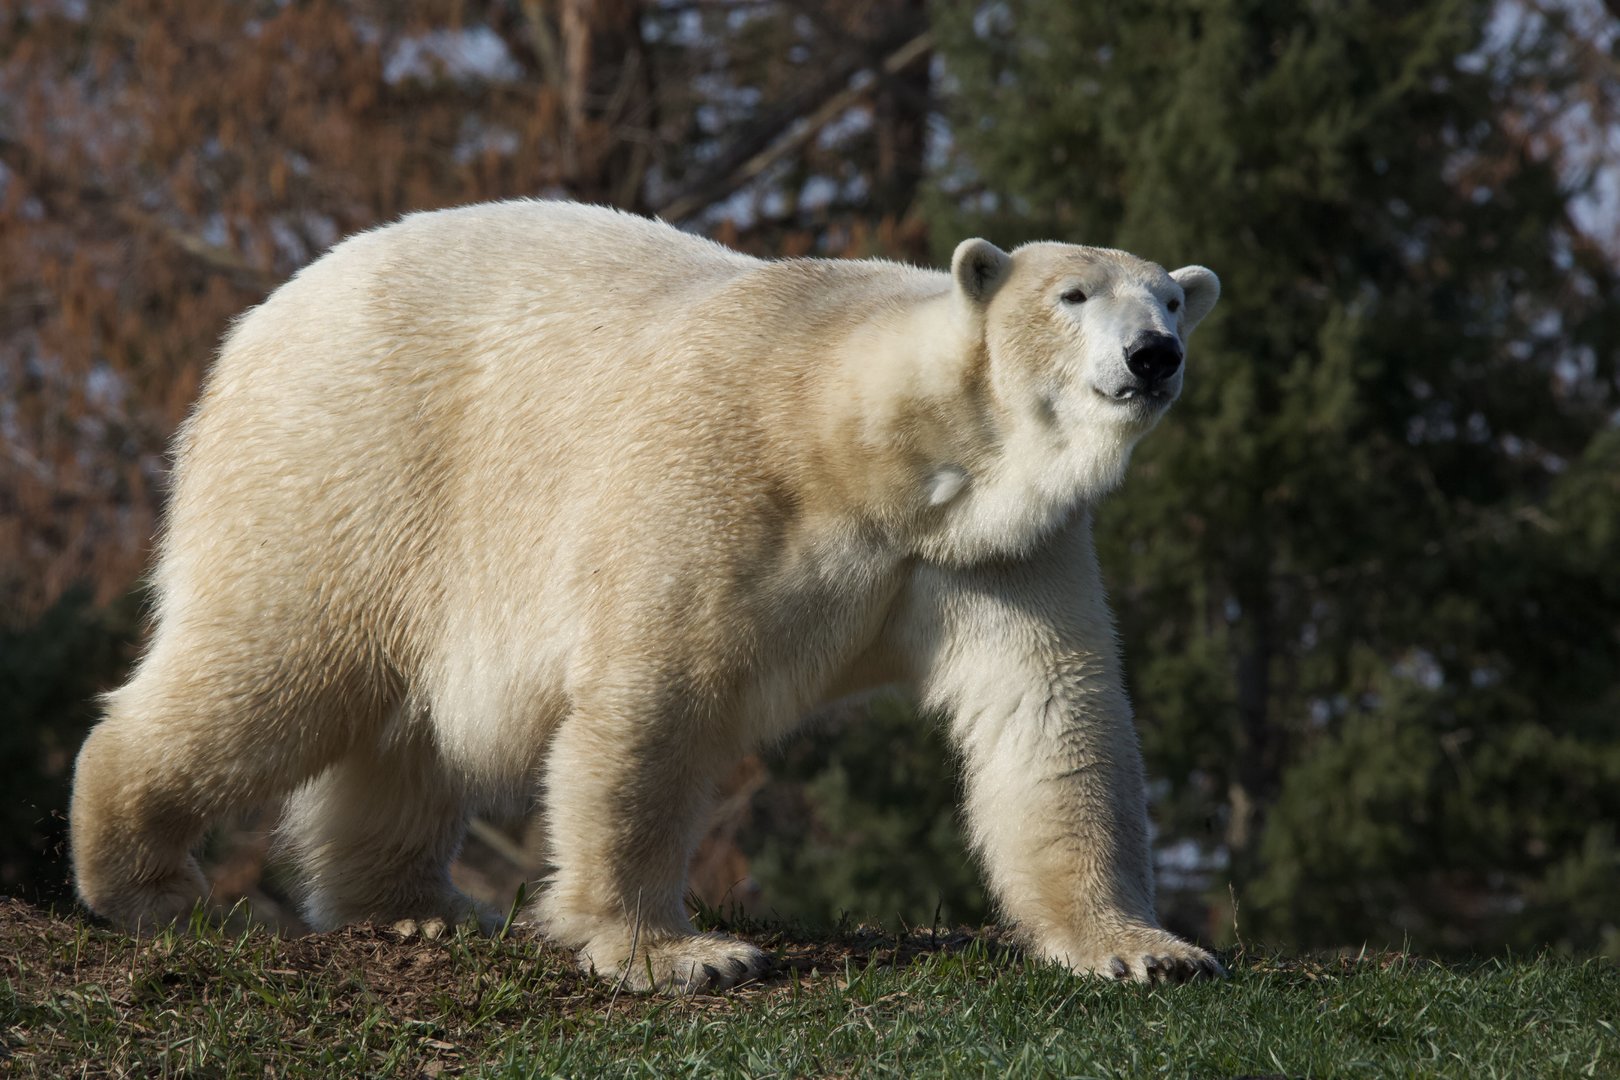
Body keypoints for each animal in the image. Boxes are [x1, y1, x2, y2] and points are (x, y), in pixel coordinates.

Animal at [70, 199, 1223, 990]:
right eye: (1072, 297)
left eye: (1170, 298)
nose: (1153, 355)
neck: (867, 446)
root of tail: (257, 324)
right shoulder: (719, 477)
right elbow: (658, 693)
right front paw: (678, 952)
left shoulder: (995, 550)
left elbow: (1049, 710)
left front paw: (1145, 948)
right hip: (347, 461)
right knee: (276, 666)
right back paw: (143, 877)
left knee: (402, 731)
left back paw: (418, 906)